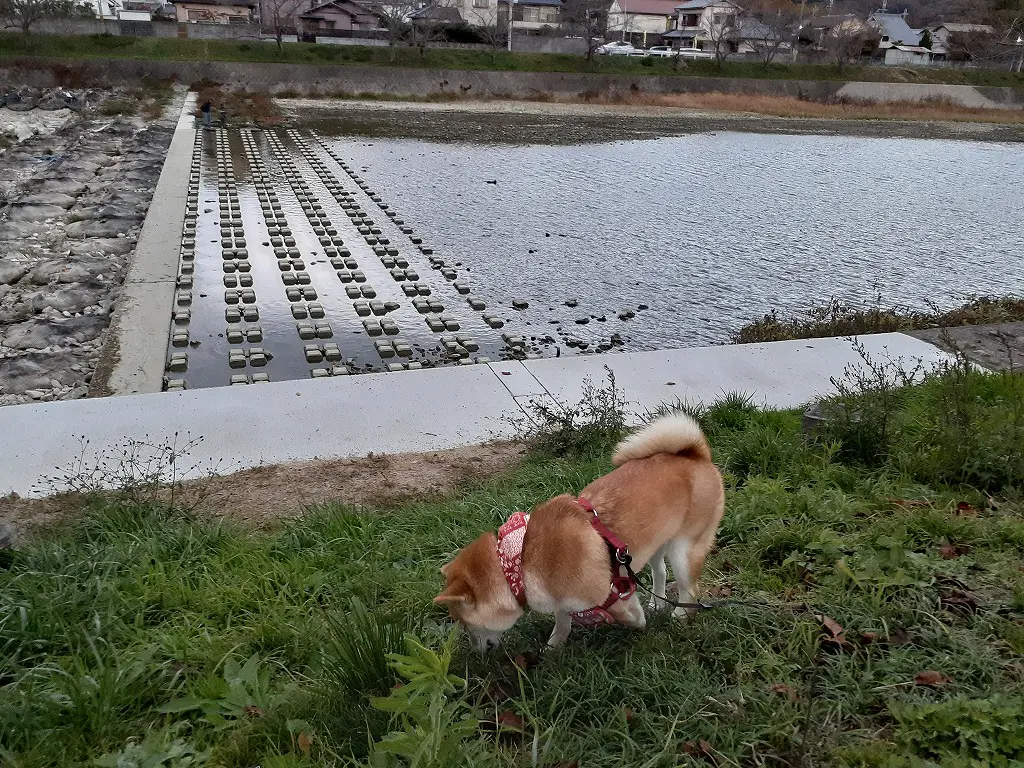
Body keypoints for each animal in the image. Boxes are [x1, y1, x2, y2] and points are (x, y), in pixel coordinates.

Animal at [436, 411, 724, 651]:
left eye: (464, 624)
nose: (474, 650)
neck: (520, 560)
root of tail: (696, 454)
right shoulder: (559, 596)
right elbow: (562, 620)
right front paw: (554, 647)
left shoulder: (614, 595)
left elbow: (628, 616)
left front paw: (640, 625)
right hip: (656, 541)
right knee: (660, 572)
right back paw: (657, 603)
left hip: (684, 550)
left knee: (689, 589)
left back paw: (678, 617)